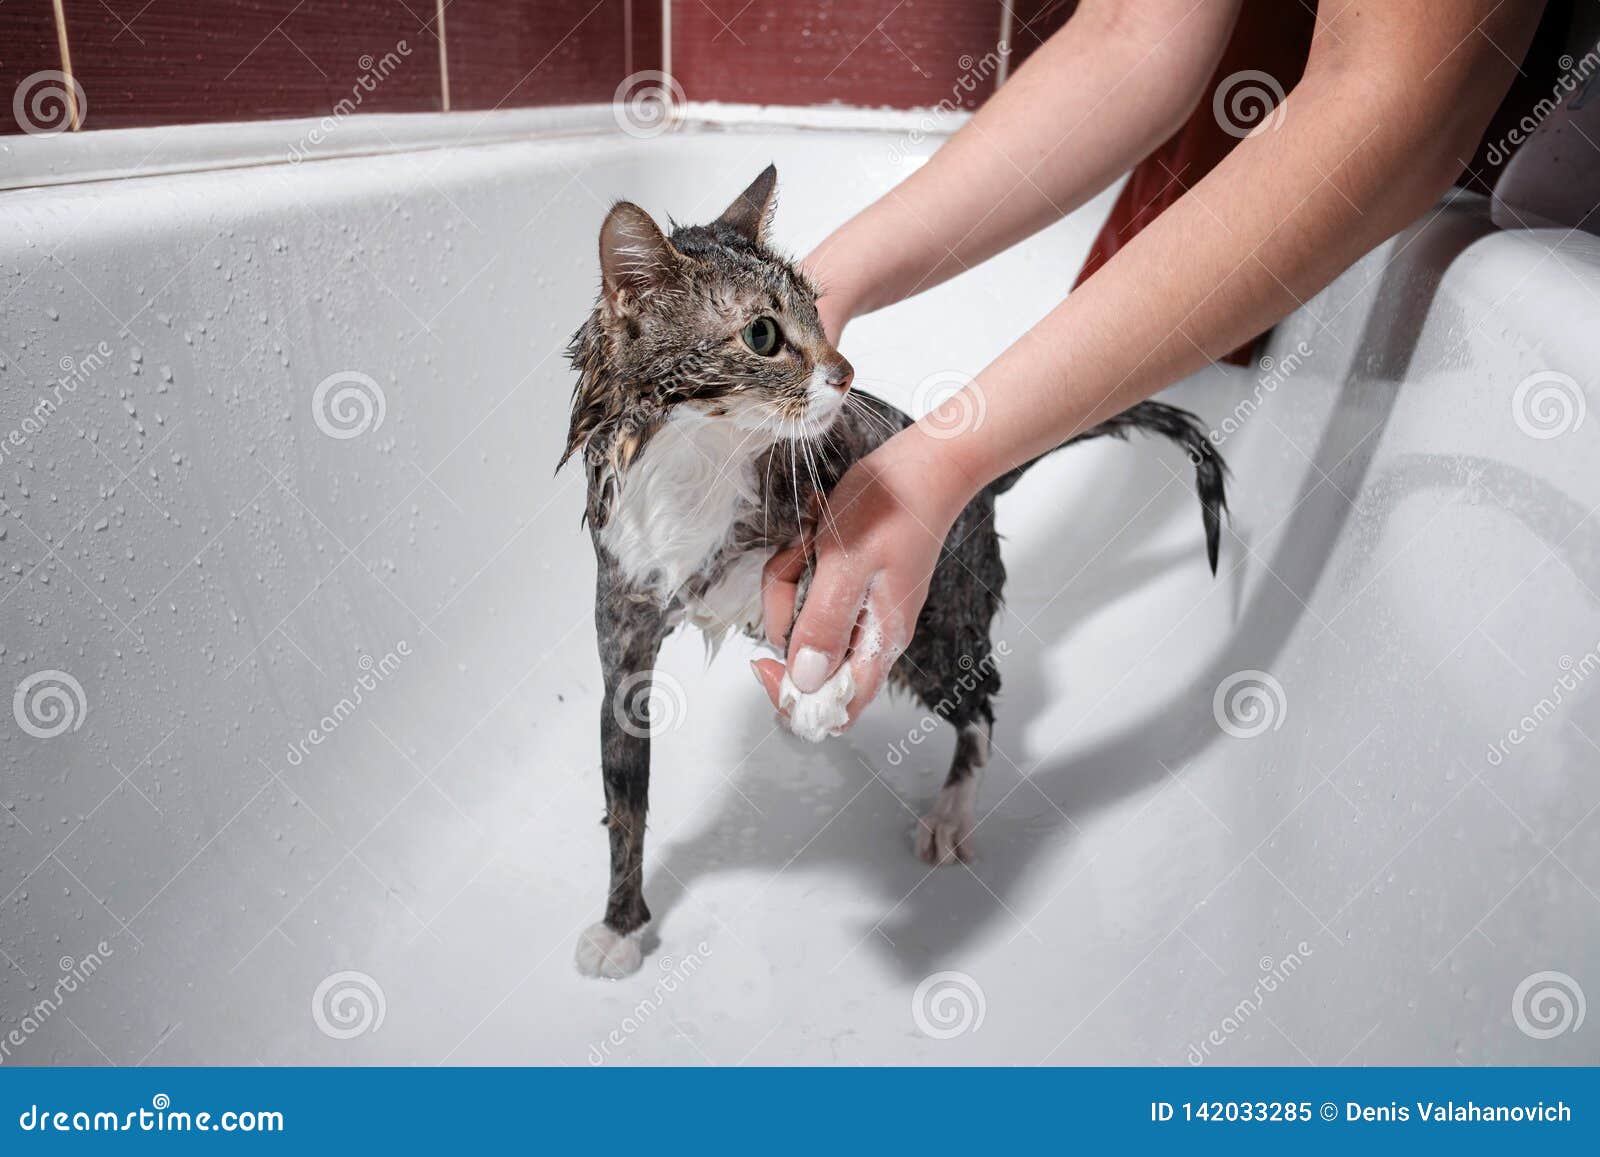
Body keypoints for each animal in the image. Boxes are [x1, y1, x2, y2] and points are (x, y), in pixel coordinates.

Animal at [563, 163, 1222, 979]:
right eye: (762, 334)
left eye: (816, 311)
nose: (845, 373)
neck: (696, 468)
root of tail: (980, 491)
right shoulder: (624, 619)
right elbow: (625, 801)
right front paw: (620, 923)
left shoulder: (827, 515)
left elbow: (825, 585)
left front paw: (817, 693)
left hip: (937, 624)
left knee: (983, 704)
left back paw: (946, 808)